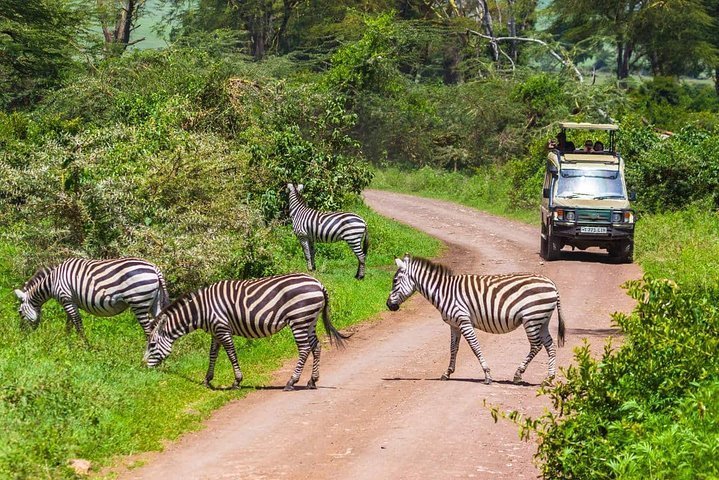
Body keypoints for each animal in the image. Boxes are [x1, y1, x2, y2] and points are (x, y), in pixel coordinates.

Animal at [14, 256, 172, 344]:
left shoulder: (66, 299)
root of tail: (155, 268)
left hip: (139, 302)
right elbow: (69, 323)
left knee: (149, 329)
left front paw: (84, 346)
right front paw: (65, 341)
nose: (21, 336)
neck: (52, 281)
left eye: (20, 313)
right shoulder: (70, 301)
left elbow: (77, 323)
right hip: (155, 302)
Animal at [143, 274, 348, 390]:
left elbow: (231, 354)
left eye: (152, 345)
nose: (143, 367)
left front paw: (237, 381)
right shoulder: (215, 332)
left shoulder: (222, 328)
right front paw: (207, 380)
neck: (201, 310)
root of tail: (319, 284)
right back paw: (312, 381)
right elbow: (212, 355)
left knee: (304, 349)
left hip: (299, 319)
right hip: (309, 320)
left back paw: (291, 382)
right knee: (317, 346)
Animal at [386, 253, 564, 384]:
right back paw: (549, 378)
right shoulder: (454, 324)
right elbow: (453, 348)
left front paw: (487, 374)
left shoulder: (464, 321)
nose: (388, 305)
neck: (443, 292)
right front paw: (447, 373)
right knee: (549, 345)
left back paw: (518, 374)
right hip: (542, 320)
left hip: (532, 318)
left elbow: (474, 347)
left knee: (536, 345)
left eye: (394, 281)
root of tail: (552, 284)